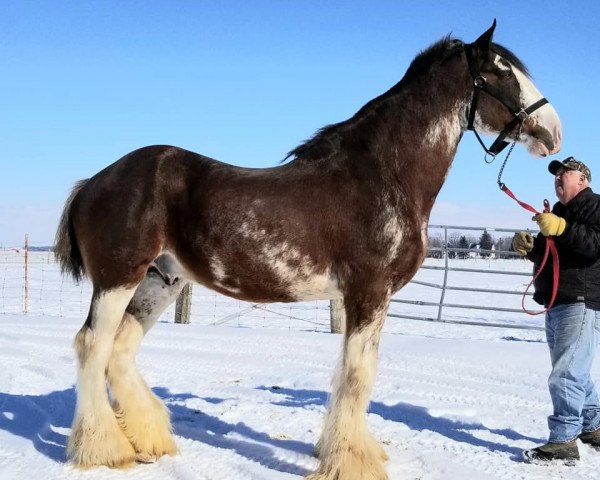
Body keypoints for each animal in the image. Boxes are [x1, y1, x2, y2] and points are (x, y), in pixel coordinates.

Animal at [54, 21, 560, 480]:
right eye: (501, 71)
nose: (553, 132)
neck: (382, 176)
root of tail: (92, 183)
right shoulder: (368, 293)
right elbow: (357, 375)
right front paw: (350, 462)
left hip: (162, 281)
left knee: (120, 349)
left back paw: (150, 439)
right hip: (118, 278)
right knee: (92, 344)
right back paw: (105, 449)